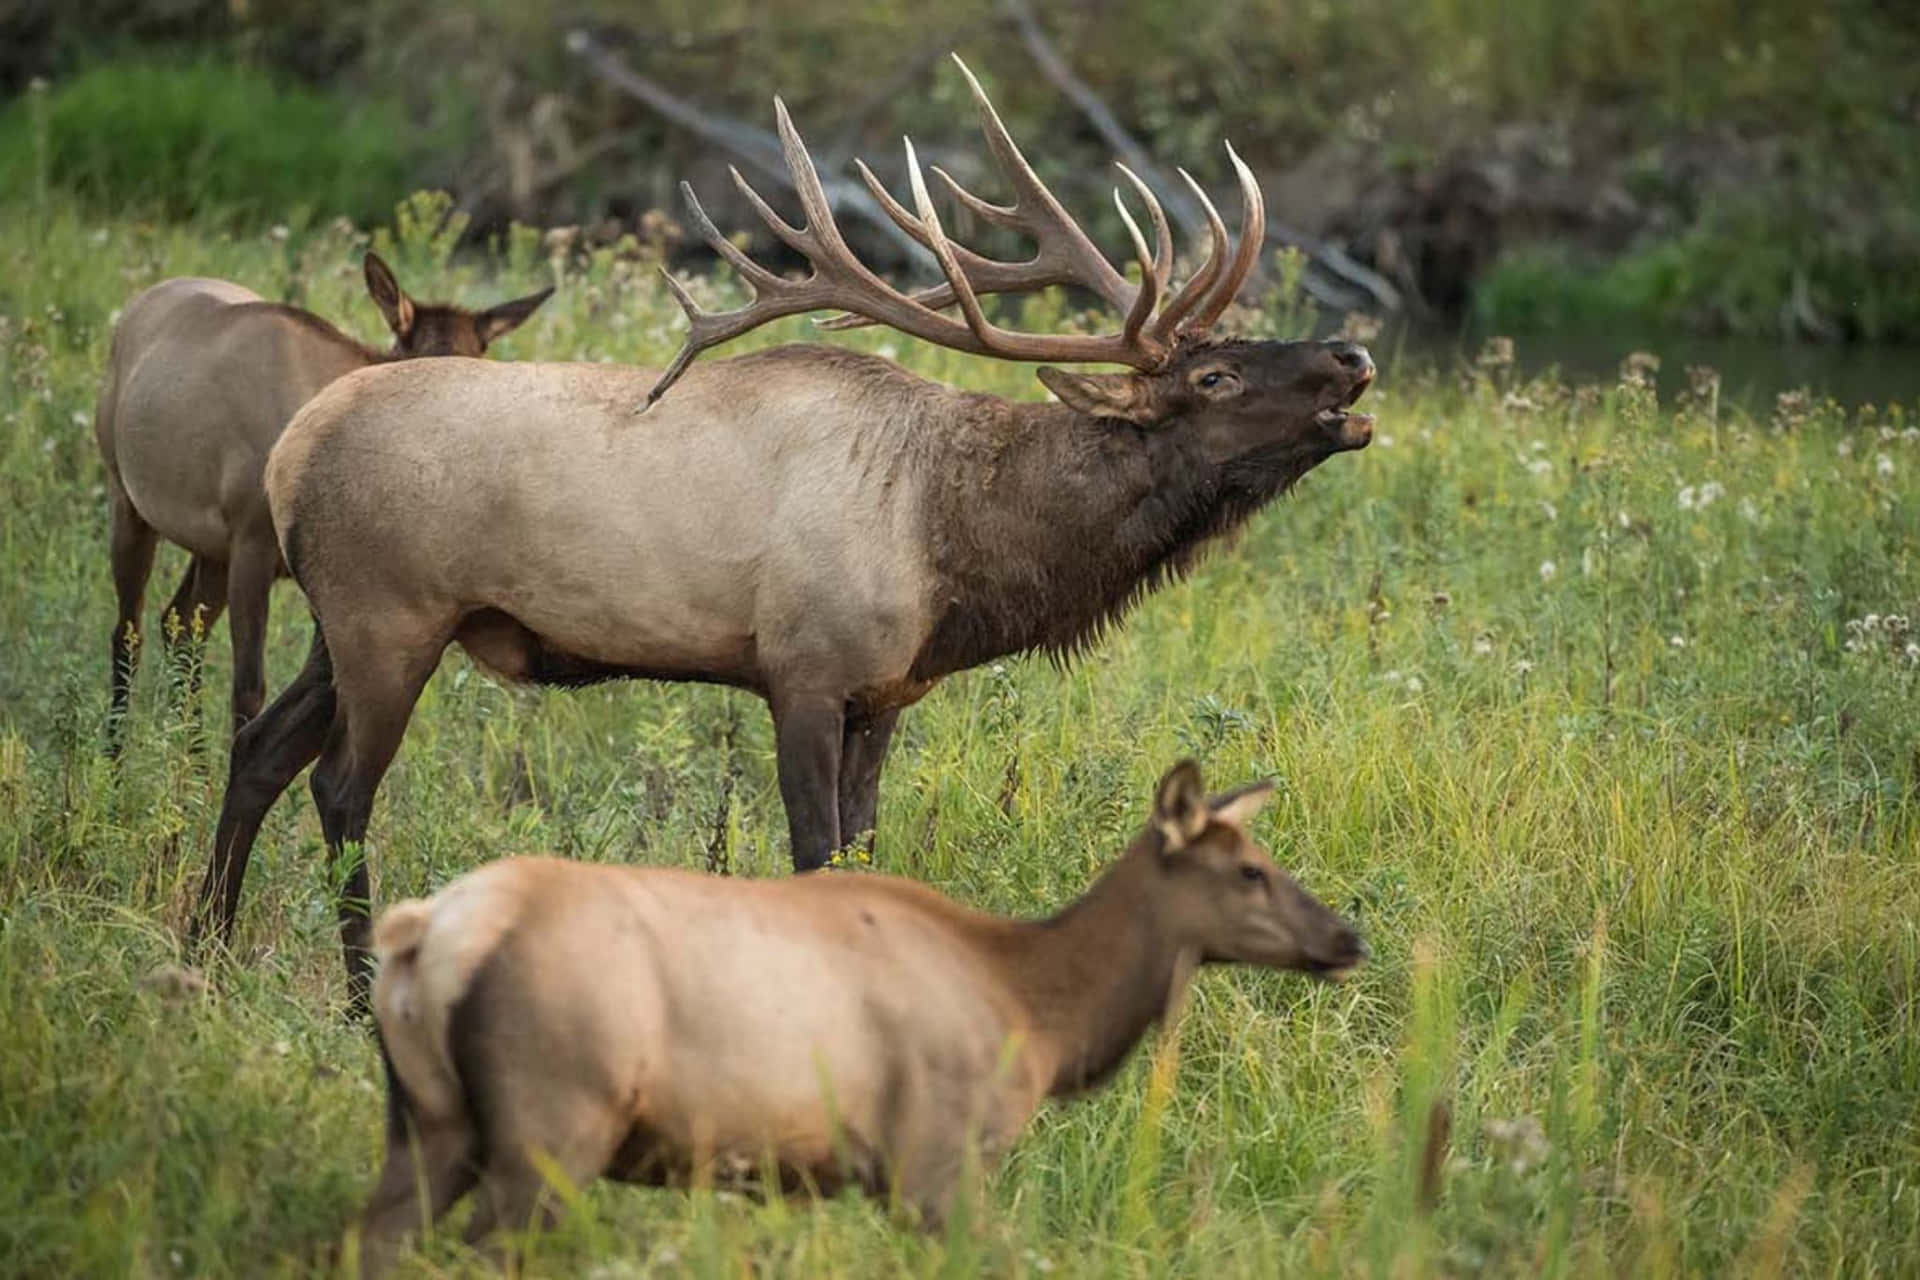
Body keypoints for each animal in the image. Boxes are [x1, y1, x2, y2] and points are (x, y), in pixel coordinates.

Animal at [94, 253, 552, 751]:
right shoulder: (252, 542)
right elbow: (249, 688)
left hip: (211, 549)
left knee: (178, 627)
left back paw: (185, 757)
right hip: (127, 497)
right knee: (128, 633)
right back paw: (117, 759)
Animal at [193, 56, 1376, 1010]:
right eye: (1214, 376)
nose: (1354, 358)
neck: (957, 553)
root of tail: (291, 448)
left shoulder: (886, 695)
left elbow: (864, 853)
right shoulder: (802, 671)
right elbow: (813, 858)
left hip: (343, 624)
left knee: (258, 746)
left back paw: (202, 941)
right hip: (390, 614)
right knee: (338, 786)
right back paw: (357, 999)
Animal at [350, 758, 1364, 1276]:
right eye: (1250, 871)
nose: (1347, 936)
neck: (1038, 1016)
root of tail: (424, 935)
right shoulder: (935, 1159)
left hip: (429, 1122)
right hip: (555, 1118)